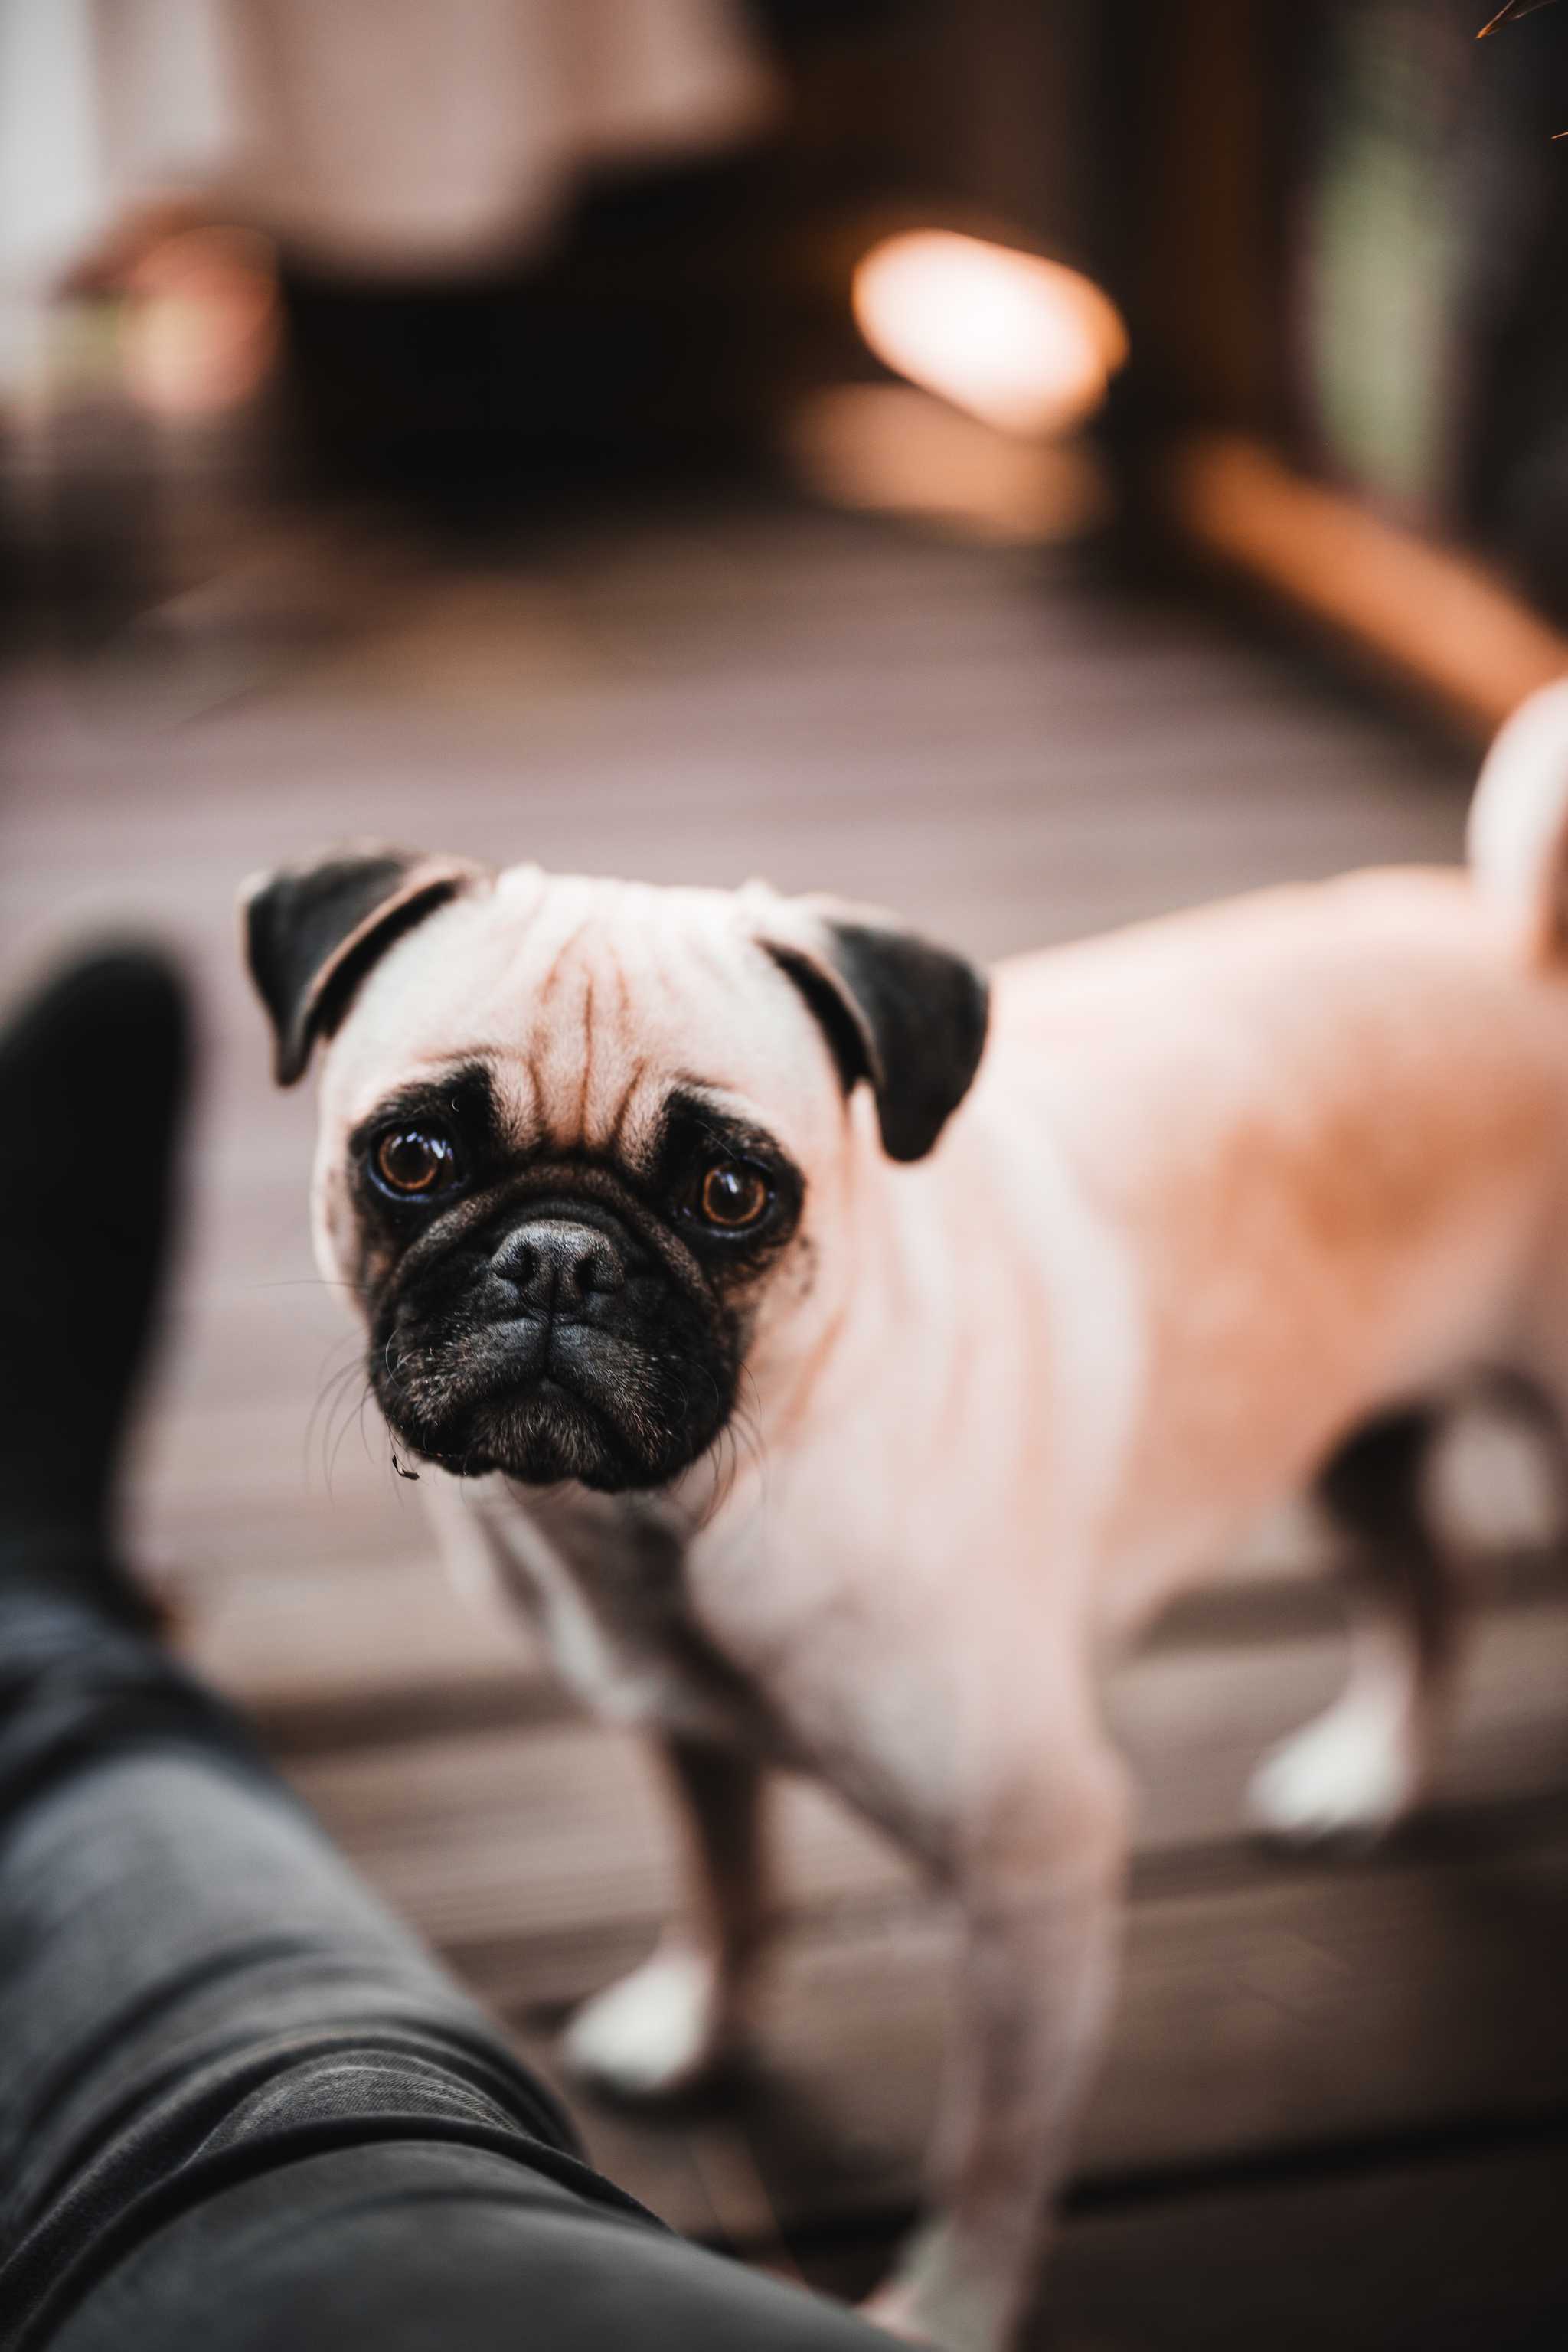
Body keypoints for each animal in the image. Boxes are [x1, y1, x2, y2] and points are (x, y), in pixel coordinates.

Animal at [245, 687, 1568, 2352]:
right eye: (409, 1158)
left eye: (734, 1194)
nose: (555, 1254)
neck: (684, 1513)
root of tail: (1527, 945)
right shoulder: (688, 1733)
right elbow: (731, 1888)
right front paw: (694, 2024)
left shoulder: (1033, 1870)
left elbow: (992, 2149)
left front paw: (945, 2308)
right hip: (1353, 1437)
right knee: (1426, 1582)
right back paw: (1367, 1772)